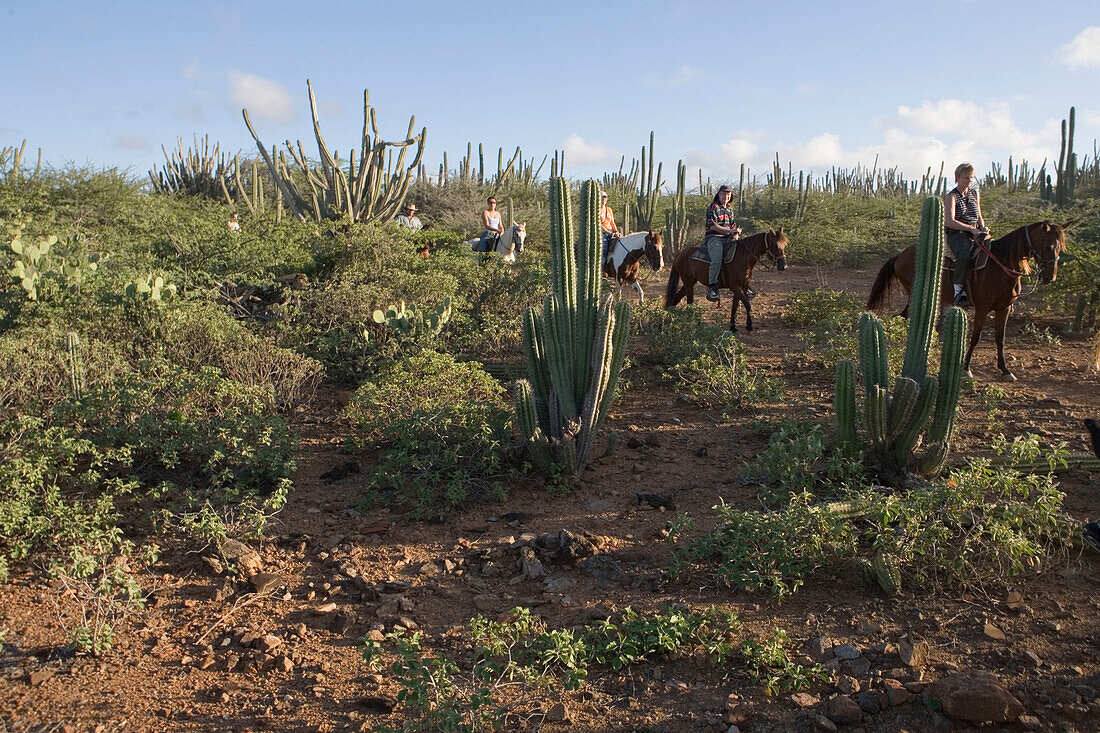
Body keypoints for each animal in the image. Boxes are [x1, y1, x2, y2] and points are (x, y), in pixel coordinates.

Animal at [866, 221, 1064, 383]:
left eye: (1060, 248)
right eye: (1047, 246)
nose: (1050, 277)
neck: (1001, 265)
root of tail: (900, 256)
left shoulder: (1004, 308)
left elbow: (1000, 339)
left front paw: (1005, 370)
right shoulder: (982, 308)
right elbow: (975, 338)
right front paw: (966, 368)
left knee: (903, 317)